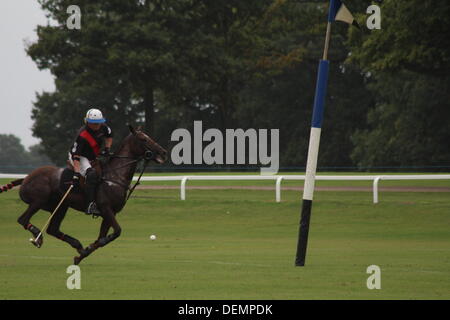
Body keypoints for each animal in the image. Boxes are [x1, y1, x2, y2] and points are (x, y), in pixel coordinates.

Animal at [0, 125, 167, 264]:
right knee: (23, 219)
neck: (114, 177)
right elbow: (116, 232)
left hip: (61, 206)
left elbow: (103, 237)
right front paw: (88, 249)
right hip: (39, 200)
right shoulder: (106, 208)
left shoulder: (110, 213)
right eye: (143, 139)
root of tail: (26, 178)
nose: (163, 152)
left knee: (52, 229)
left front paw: (82, 254)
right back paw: (38, 237)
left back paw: (77, 245)